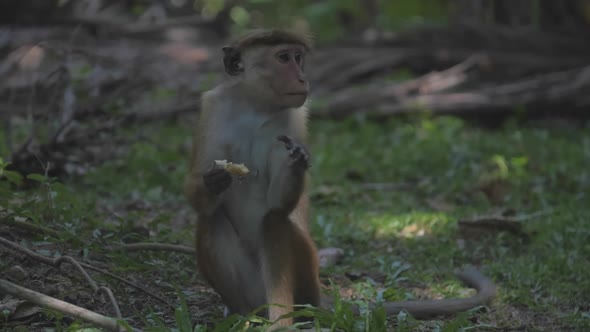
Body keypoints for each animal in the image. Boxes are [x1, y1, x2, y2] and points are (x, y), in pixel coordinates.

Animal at [184, 29, 494, 330]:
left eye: (298, 57)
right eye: (283, 58)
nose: (302, 77)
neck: (255, 106)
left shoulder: (293, 118)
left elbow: (277, 205)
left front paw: (297, 161)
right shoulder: (214, 107)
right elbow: (202, 191)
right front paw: (214, 181)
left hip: (306, 280)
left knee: (274, 221)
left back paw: (280, 323)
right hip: (252, 290)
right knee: (211, 218)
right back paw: (245, 316)